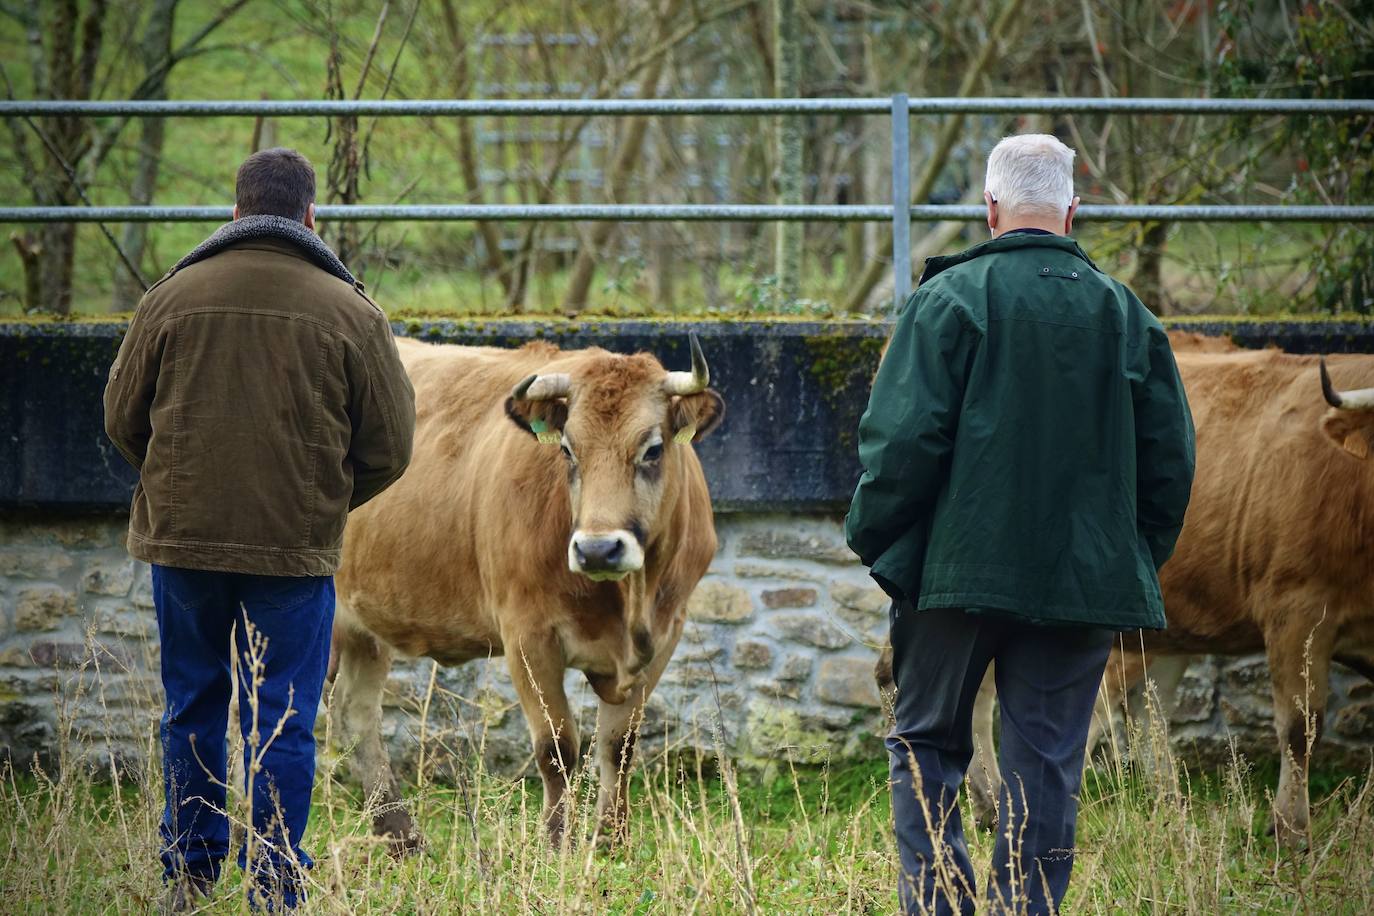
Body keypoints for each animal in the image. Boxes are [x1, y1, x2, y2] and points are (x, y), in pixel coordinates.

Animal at [328, 333, 725, 851]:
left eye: (653, 449)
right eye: (569, 451)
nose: (598, 549)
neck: (626, 601)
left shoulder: (665, 635)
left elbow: (619, 746)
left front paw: (611, 840)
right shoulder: (527, 636)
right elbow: (557, 747)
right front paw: (556, 843)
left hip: (365, 627)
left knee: (356, 710)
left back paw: (400, 834)